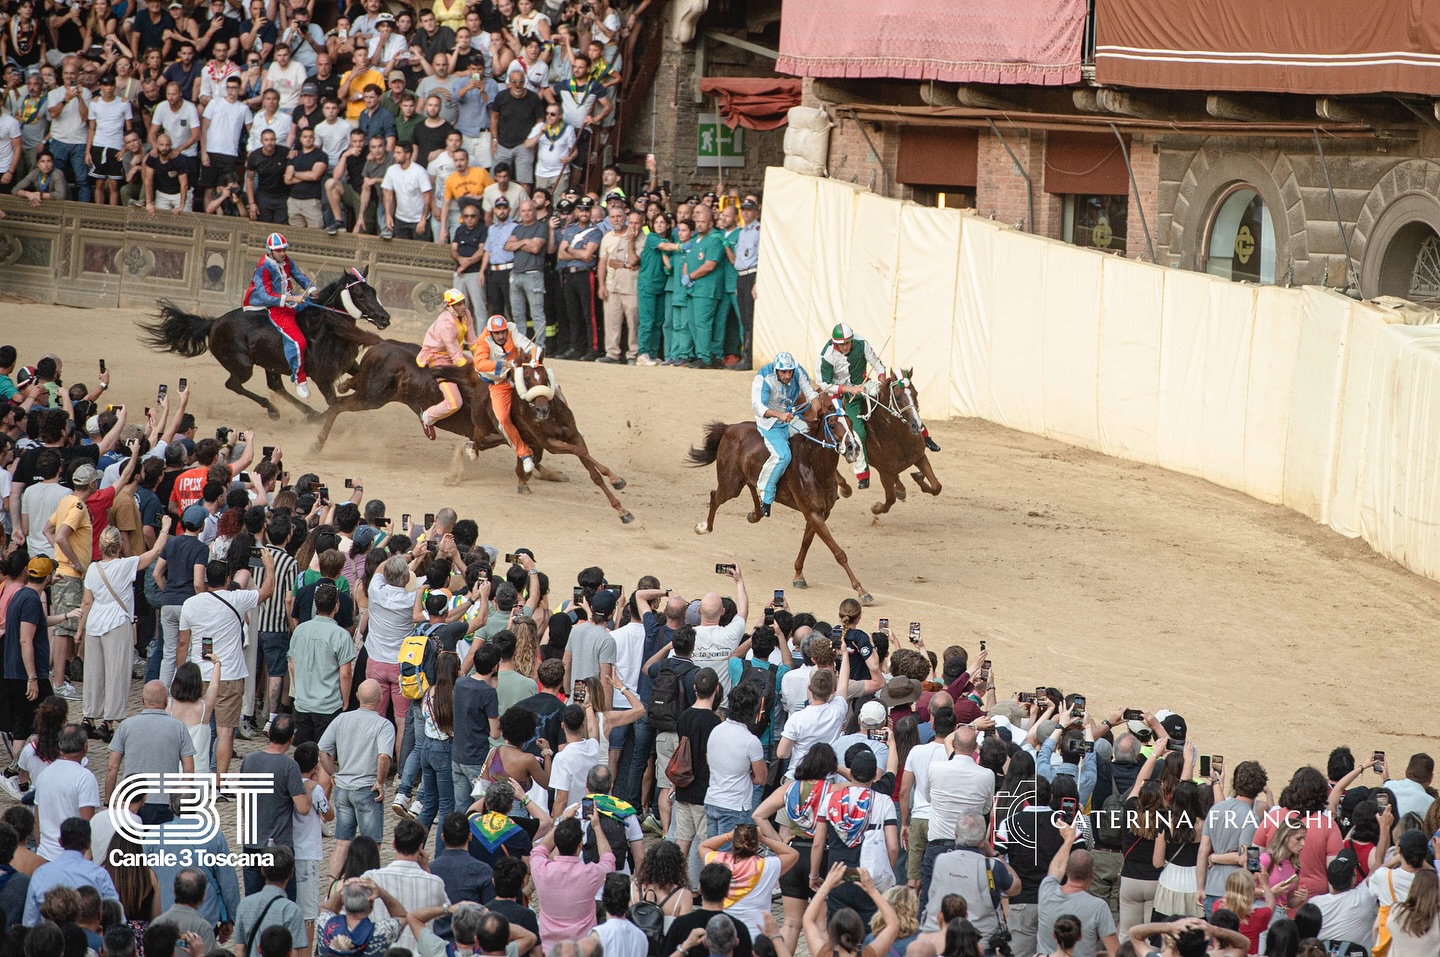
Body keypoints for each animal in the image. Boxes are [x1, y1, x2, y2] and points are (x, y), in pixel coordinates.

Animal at [138, 266, 391, 420]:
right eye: (359, 294)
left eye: (373, 290)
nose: (384, 318)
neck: (325, 328)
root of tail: (214, 323)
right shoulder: (322, 377)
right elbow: (334, 402)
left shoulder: (349, 364)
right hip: (243, 365)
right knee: (234, 384)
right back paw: (275, 411)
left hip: (270, 363)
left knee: (275, 386)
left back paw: (307, 413)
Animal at [312, 328, 633, 523]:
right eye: (527, 379)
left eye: (543, 376)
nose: (541, 409)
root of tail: (382, 344)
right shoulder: (543, 439)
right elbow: (570, 454)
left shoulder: (568, 435)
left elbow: (588, 466)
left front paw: (621, 505)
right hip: (372, 396)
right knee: (337, 406)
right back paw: (316, 443)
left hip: (372, 393)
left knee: (341, 396)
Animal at [688, 400, 869, 601]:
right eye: (833, 425)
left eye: (850, 423)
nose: (854, 448)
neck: (814, 466)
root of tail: (729, 428)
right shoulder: (813, 512)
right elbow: (839, 553)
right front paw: (862, 590)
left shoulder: (820, 513)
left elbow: (806, 543)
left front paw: (798, 576)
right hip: (731, 484)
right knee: (715, 496)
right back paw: (703, 527)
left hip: (744, 478)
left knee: (751, 487)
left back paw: (756, 513)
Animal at [840, 366, 944, 515]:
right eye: (898, 397)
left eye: (916, 393)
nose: (917, 425)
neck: (896, 437)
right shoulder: (885, 473)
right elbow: (890, 499)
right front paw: (876, 507)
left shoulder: (920, 457)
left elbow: (936, 486)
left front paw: (918, 477)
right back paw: (845, 488)